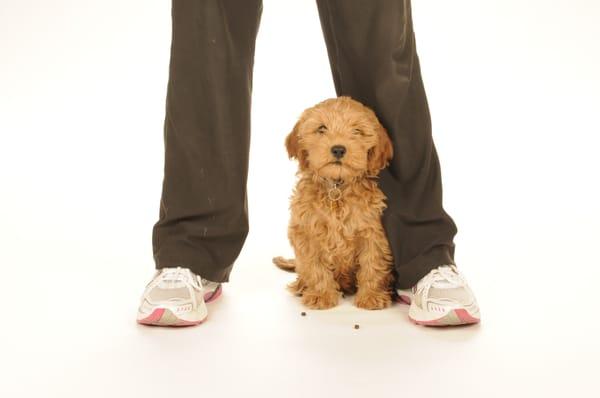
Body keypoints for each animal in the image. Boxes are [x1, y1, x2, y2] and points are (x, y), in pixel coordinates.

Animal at [274, 96, 396, 310]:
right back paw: (302, 286)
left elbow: (372, 263)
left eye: (357, 131)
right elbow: (314, 266)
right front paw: (321, 295)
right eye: (322, 128)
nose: (338, 149)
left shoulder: (372, 232)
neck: (336, 187)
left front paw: (371, 296)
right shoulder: (306, 232)